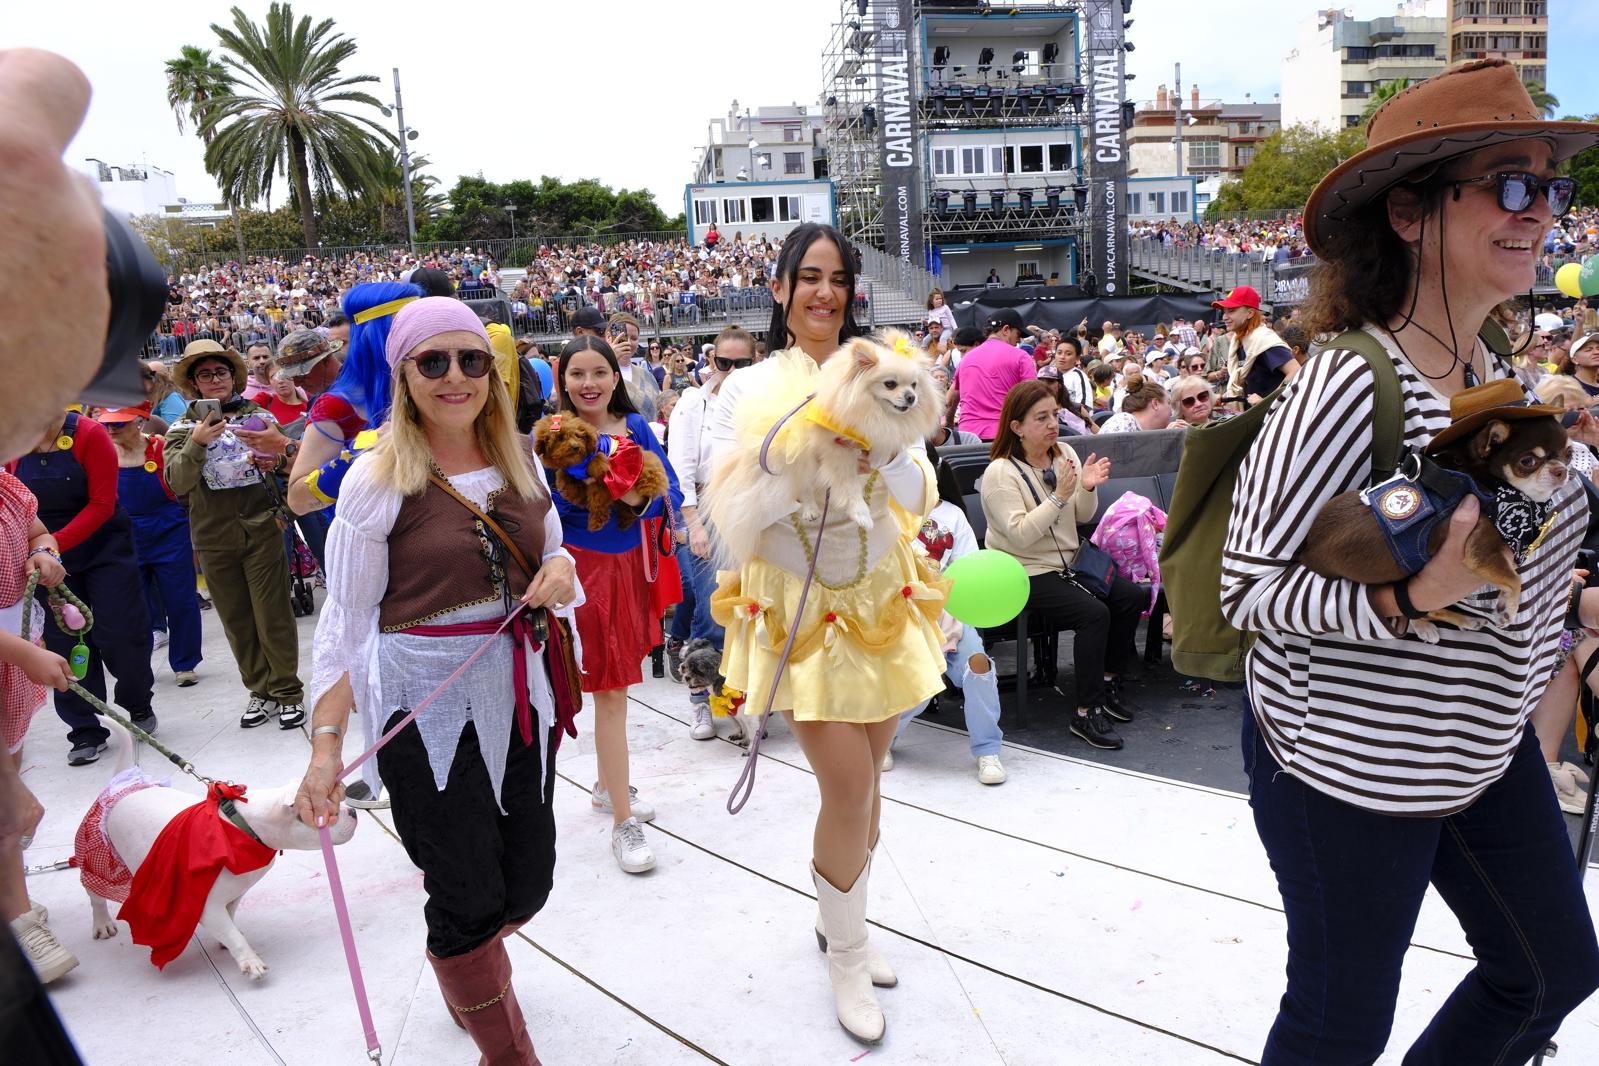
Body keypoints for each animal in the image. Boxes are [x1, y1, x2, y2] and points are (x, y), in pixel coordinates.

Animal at [706, 330, 940, 565]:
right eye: (890, 384)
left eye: (914, 385)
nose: (911, 397)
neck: (873, 410)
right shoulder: (837, 451)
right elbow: (850, 486)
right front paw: (861, 513)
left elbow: (884, 444)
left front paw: (878, 458)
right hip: (803, 459)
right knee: (805, 487)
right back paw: (810, 510)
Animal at [1291, 377, 1567, 642]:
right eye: (1528, 461)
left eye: (1568, 453)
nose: (1561, 470)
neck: (1484, 479)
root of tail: (1308, 553)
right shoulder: (1480, 551)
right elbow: (1515, 579)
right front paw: (1509, 609)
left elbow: (1509, 579)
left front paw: (1502, 603)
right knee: (1422, 610)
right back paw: (1441, 623)